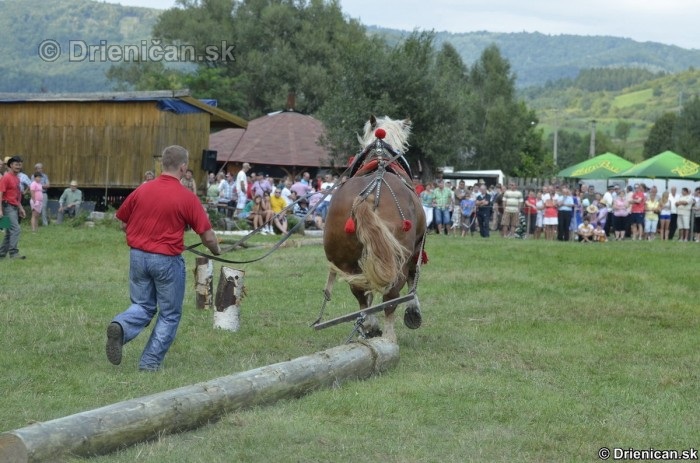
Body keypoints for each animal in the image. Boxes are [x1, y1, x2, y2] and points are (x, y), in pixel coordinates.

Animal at [322, 114, 426, 342]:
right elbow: (413, 277)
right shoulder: (417, 247)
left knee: (360, 290)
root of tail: (369, 198)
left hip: (346, 260)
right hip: (397, 257)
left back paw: (368, 325)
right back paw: (388, 336)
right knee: (391, 296)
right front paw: (413, 311)